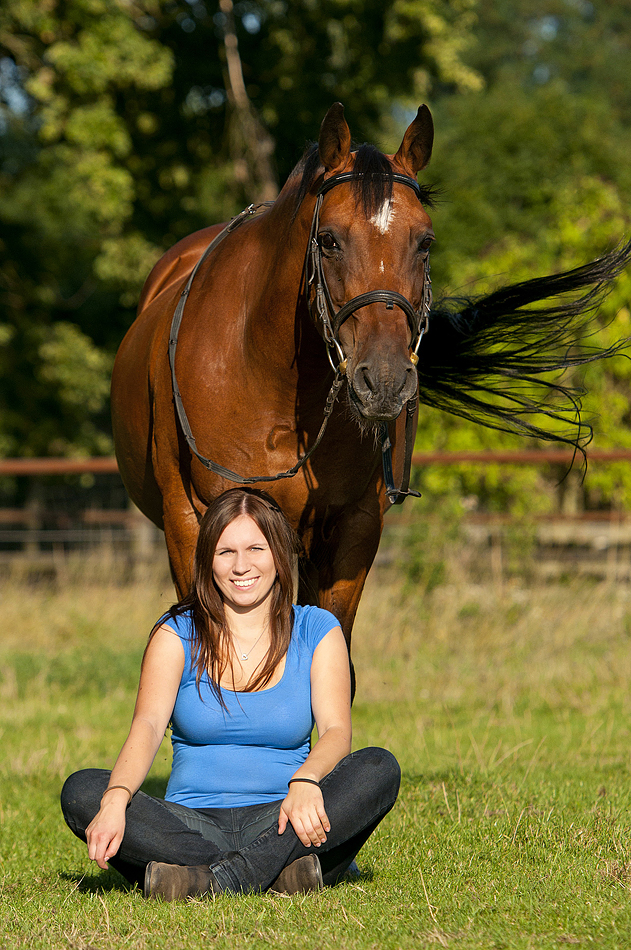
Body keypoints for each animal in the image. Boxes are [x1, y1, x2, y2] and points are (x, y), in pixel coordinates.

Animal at [113, 102, 631, 684]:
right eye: (329, 239)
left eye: (425, 241)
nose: (383, 381)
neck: (272, 387)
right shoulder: (191, 522)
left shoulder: (352, 527)